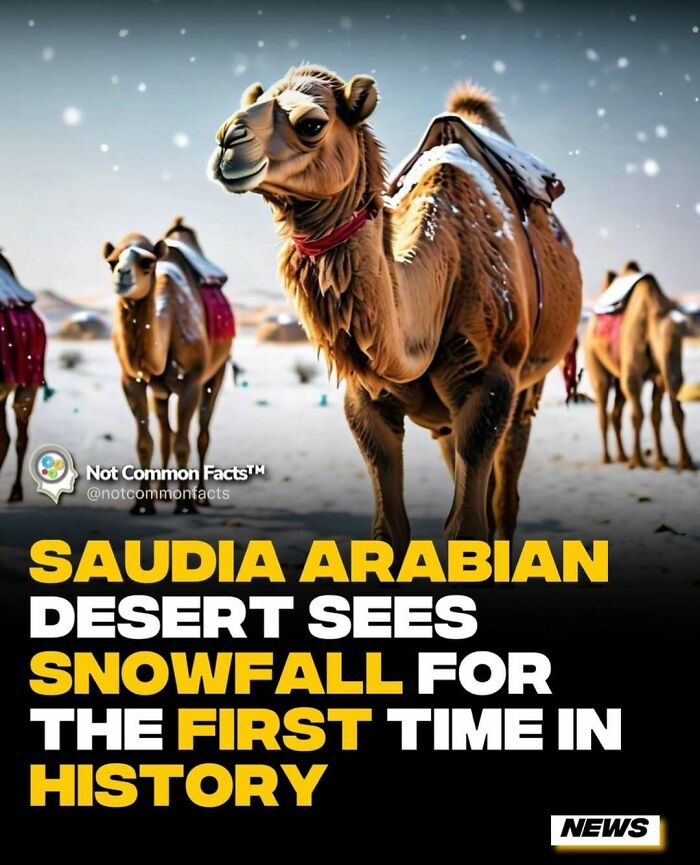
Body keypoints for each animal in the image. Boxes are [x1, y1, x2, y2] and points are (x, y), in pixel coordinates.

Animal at [101, 217, 234, 514]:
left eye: (147, 263)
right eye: (111, 262)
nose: (122, 275)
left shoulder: (191, 383)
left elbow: (184, 444)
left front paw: (185, 504)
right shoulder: (132, 380)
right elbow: (145, 443)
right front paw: (142, 503)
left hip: (217, 372)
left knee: (202, 434)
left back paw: (200, 496)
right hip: (160, 392)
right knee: (165, 434)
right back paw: (161, 492)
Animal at [209, 65, 581, 549]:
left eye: (311, 123)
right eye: (251, 102)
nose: (226, 141)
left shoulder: (491, 382)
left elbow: (469, 527)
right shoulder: (366, 398)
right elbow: (389, 528)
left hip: (528, 381)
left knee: (504, 493)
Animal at [584, 261, 695, 471]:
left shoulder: (660, 375)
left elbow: (658, 415)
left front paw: (666, 460)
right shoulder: (638, 373)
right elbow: (640, 414)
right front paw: (640, 461)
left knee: (615, 412)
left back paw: (621, 456)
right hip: (592, 356)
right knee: (603, 402)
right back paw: (608, 458)